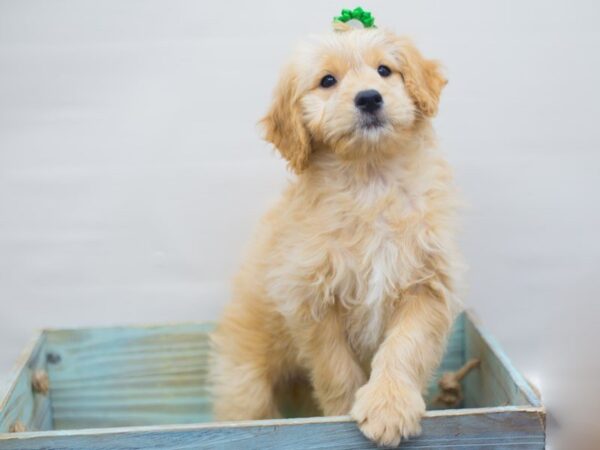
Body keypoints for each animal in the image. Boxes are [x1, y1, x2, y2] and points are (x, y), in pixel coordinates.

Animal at [213, 27, 462, 446]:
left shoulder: (426, 284)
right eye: (328, 81)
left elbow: (403, 348)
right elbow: (335, 368)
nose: (369, 97)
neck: (370, 179)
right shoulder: (313, 299)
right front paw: (345, 413)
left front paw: (389, 405)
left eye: (385, 70)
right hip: (246, 384)